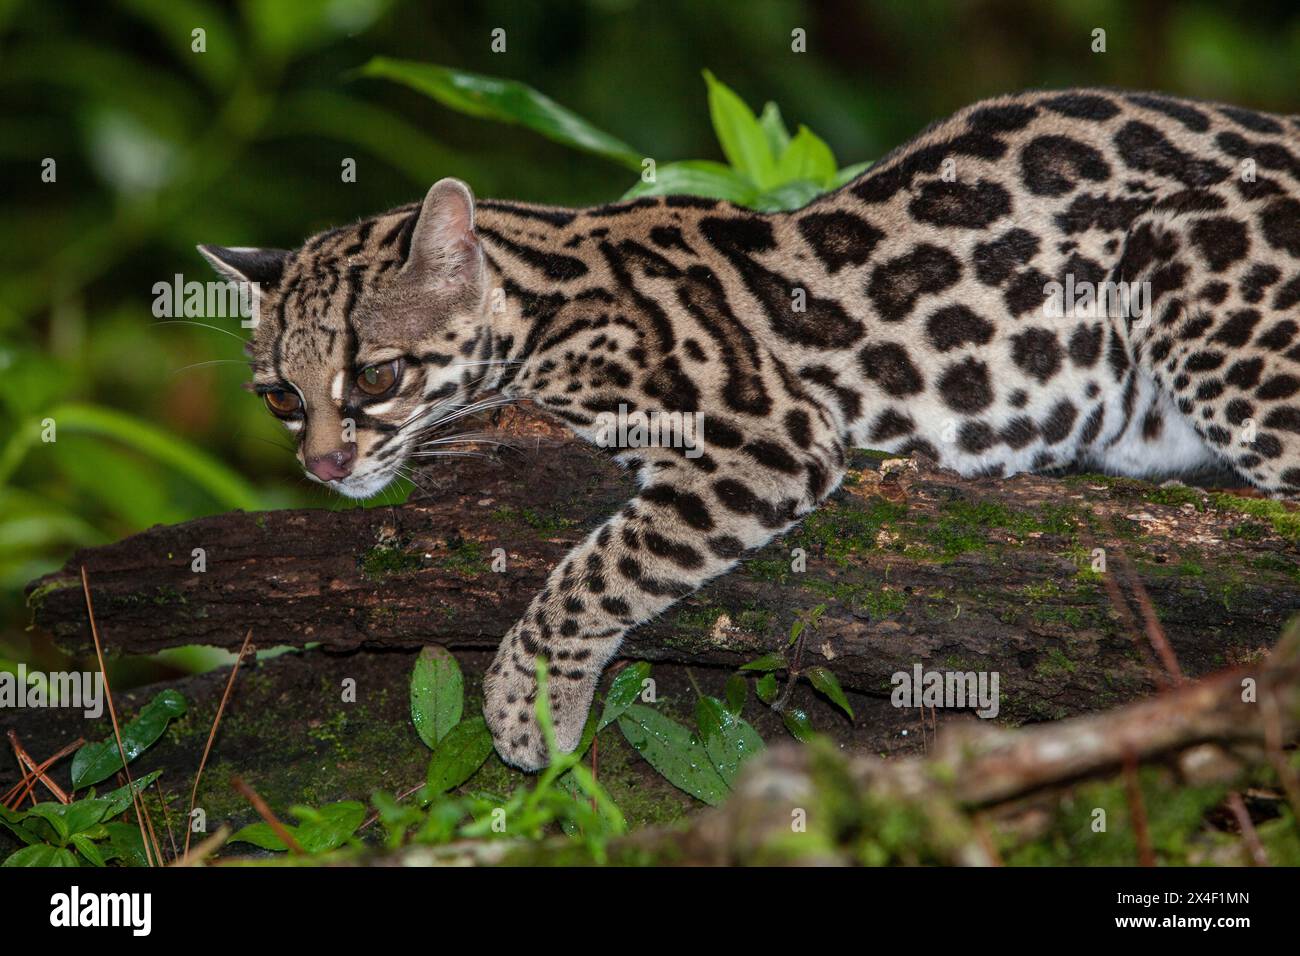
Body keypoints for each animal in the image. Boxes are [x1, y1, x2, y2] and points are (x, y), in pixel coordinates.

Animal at [200, 89, 1300, 770]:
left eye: (375, 375)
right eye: (281, 396)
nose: (323, 464)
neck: (543, 288)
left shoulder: (763, 428)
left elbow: (602, 563)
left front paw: (526, 700)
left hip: (1186, 271)